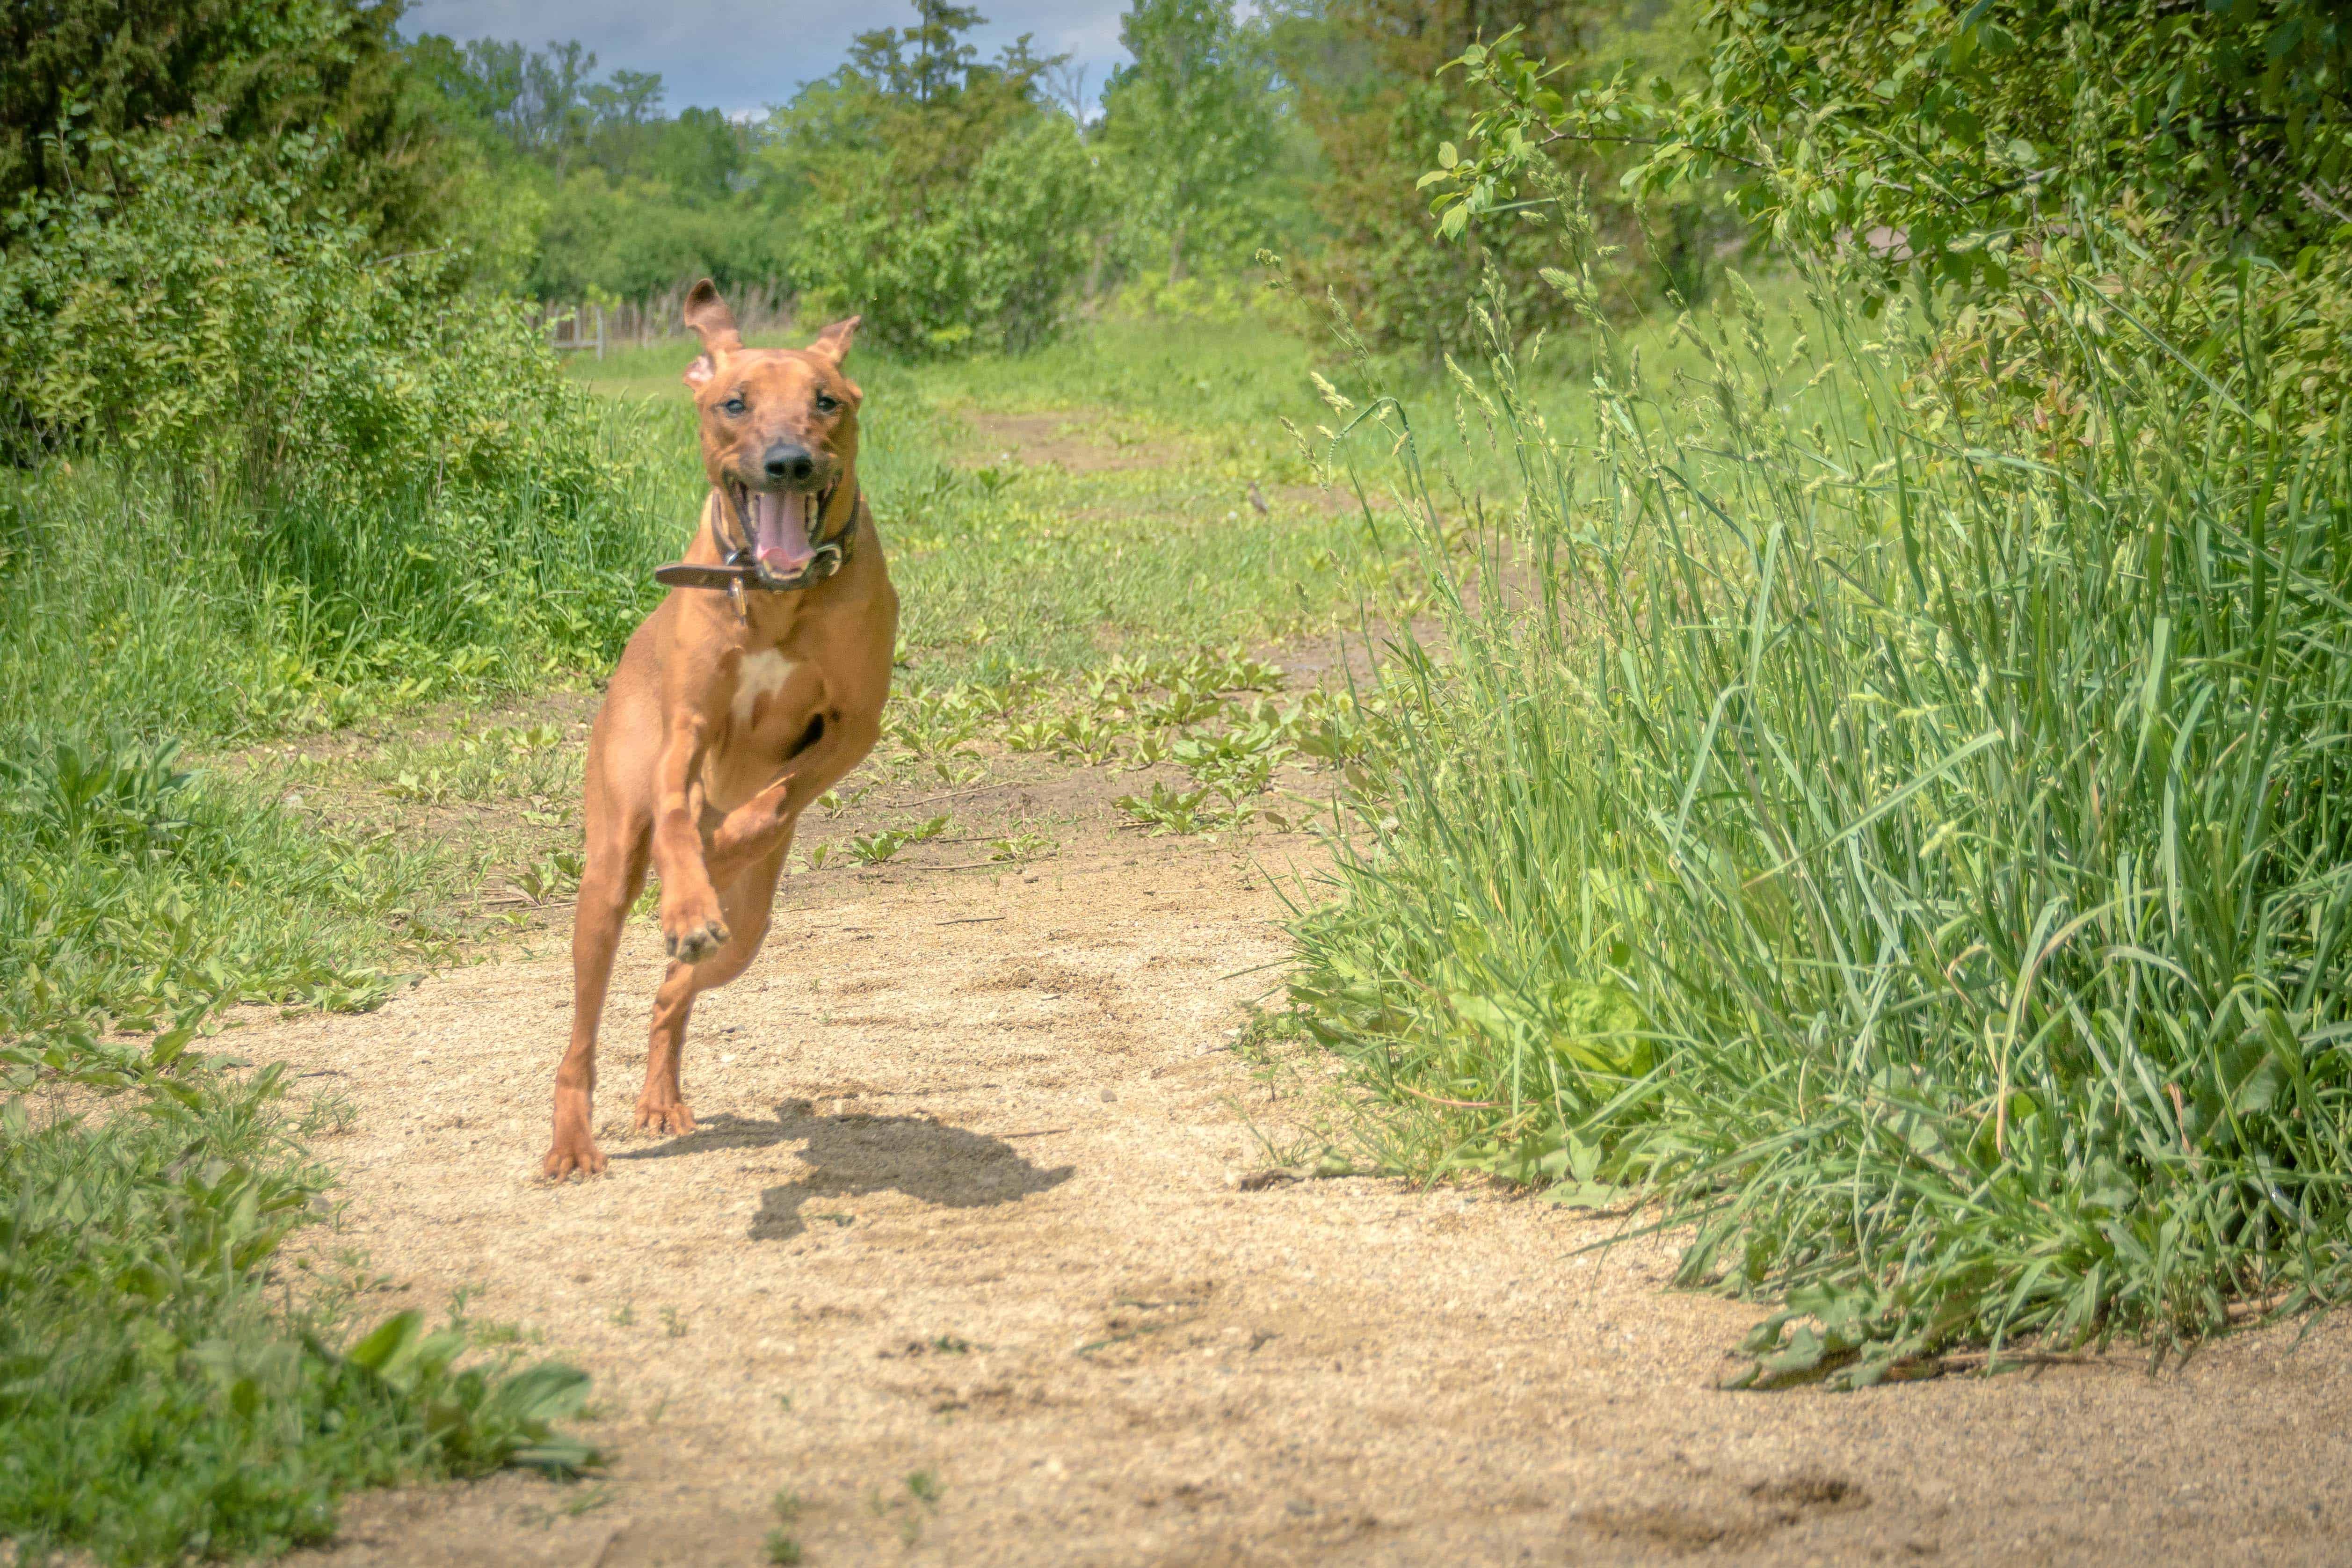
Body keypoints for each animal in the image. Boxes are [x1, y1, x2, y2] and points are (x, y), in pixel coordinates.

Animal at [545, 278, 893, 1175]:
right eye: (733, 403)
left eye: (826, 401)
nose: (789, 462)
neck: (773, 596)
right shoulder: (687, 726)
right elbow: (674, 812)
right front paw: (687, 884)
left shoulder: (855, 726)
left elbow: (775, 802)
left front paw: (721, 851)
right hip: (603, 879)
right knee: (581, 1035)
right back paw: (572, 1139)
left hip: (752, 935)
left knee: (672, 994)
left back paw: (661, 1093)